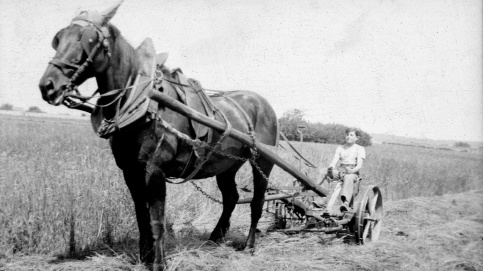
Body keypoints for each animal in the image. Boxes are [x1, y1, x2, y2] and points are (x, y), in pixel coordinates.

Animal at [39, 2, 278, 271]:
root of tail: (263, 103)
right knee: (231, 198)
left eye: (88, 39)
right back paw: (215, 237)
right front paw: (144, 256)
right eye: (58, 39)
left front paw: (158, 263)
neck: (141, 104)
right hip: (227, 165)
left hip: (262, 162)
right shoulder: (131, 171)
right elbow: (141, 217)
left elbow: (156, 219)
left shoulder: (155, 171)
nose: (48, 86)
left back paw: (249, 245)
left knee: (257, 201)